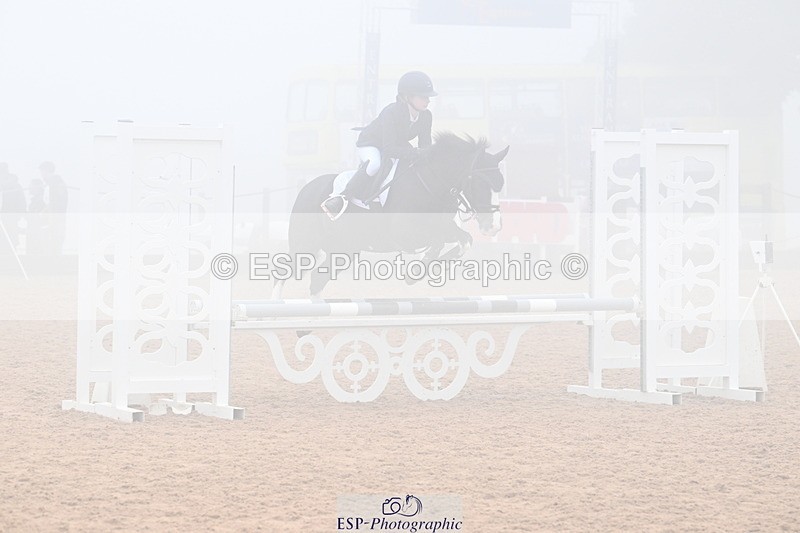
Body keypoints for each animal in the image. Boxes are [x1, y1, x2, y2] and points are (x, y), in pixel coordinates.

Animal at [275, 132, 508, 297]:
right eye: (481, 183)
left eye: (501, 184)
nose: (494, 226)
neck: (430, 183)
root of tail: (306, 188)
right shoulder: (408, 235)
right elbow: (440, 240)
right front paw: (417, 271)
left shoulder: (442, 227)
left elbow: (463, 240)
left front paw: (419, 270)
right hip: (306, 245)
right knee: (284, 273)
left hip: (343, 250)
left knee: (317, 280)